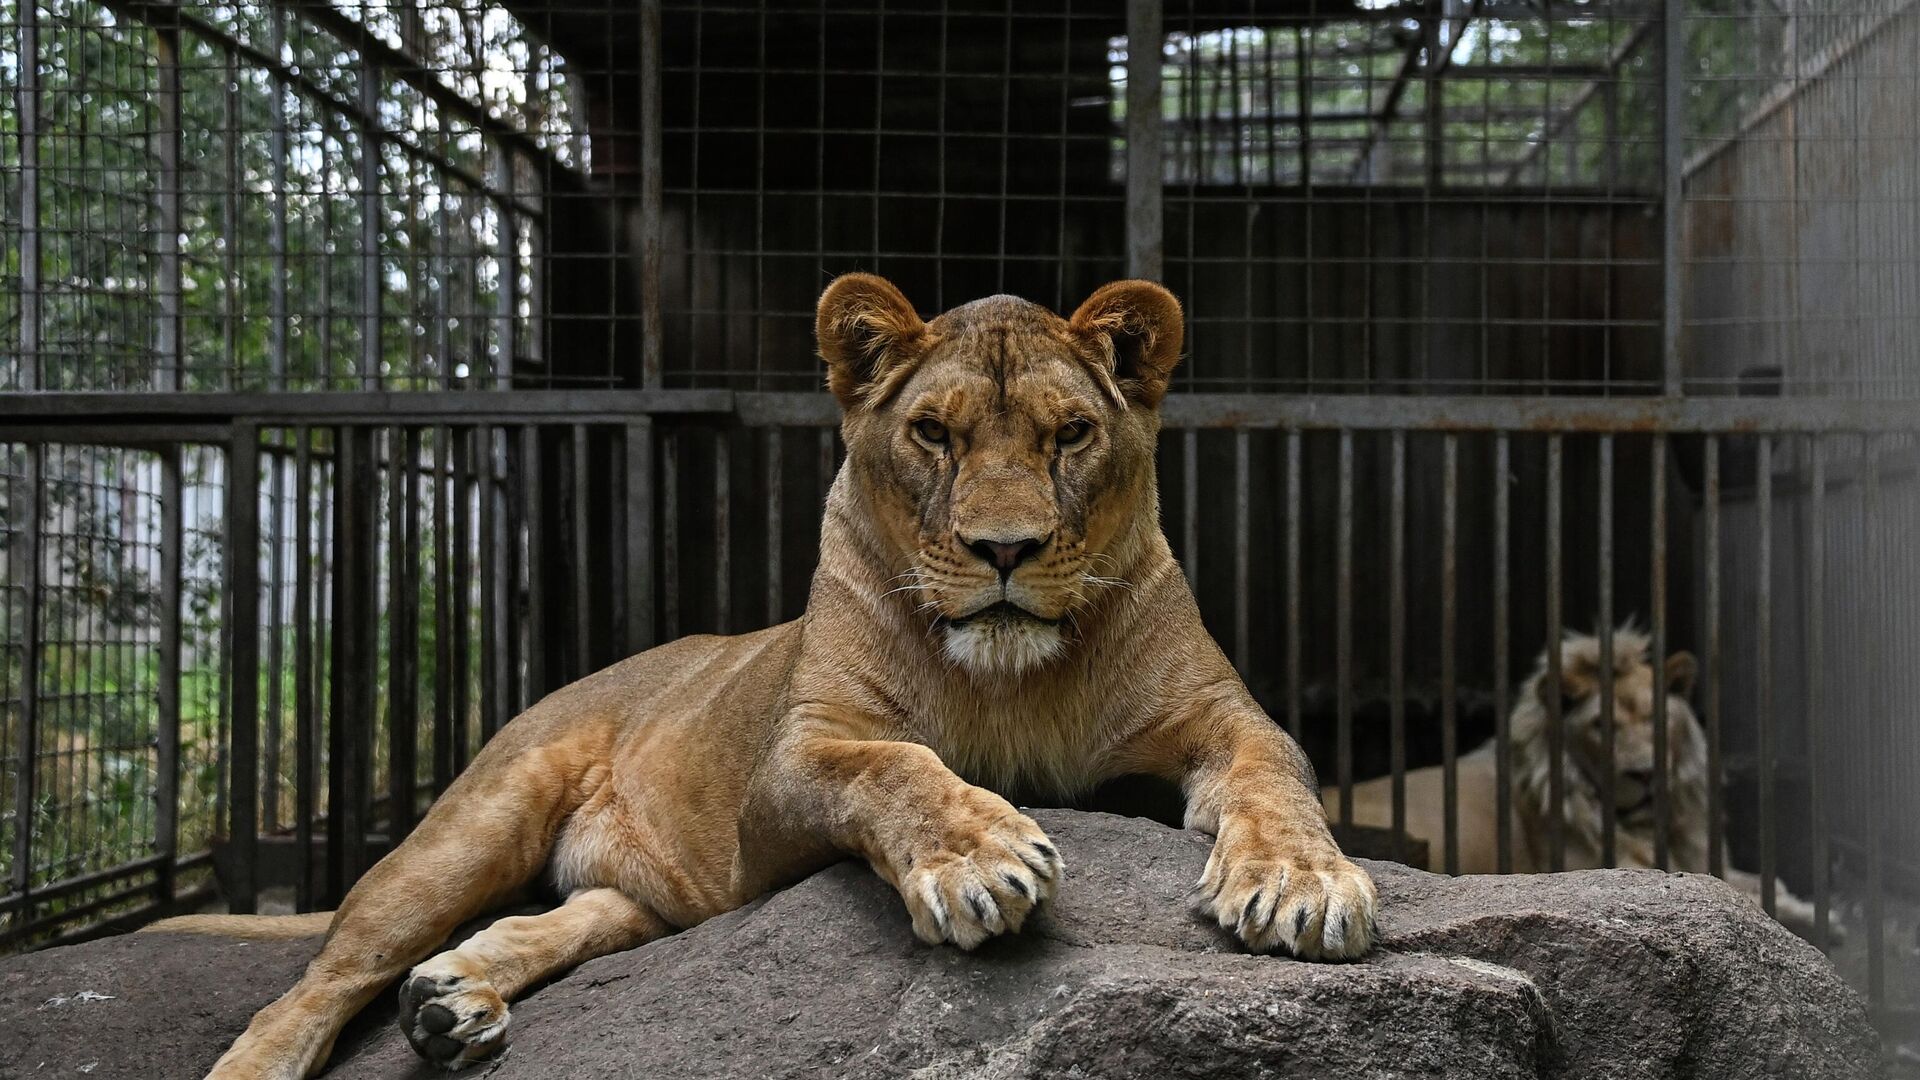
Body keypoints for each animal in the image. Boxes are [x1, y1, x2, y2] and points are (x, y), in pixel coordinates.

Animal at [153, 272, 1382, 1068]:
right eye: (934, 435)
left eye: (1070, 435)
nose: (1005, 550)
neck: (1011, 678)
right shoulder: (796, 760)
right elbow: (894, 768)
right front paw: (979, 859)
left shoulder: (1222, 715)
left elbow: (1276, 776)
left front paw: (1302, 883)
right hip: (474, 822)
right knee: (317, 984)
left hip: (642, 899)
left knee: (566, 919)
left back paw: (454, 1004)